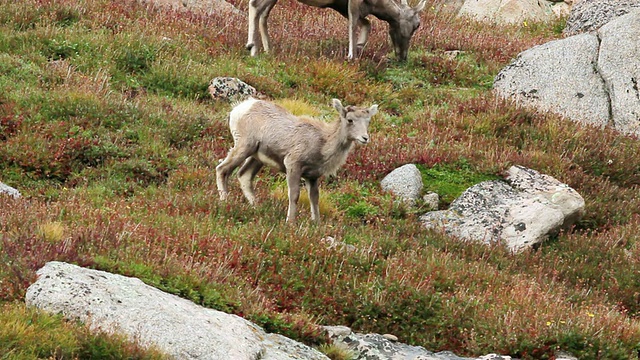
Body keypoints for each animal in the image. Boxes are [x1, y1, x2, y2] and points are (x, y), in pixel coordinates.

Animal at [218, 97, 378, 224]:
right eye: (350, 120)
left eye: (368, 121)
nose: (365, 138)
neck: (323, 145)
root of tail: (240, 108)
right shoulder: (293, 166)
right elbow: (294, 195)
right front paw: (291, 222)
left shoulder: (312, 177)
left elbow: (314, 199)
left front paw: (316, 224)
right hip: (244, 147)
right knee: (222, 169)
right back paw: (225, 201)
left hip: (256, 158)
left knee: (244, 176)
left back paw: (256, 206)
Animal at [248, 0, 428, 61]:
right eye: (417, 24)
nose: (403, 56)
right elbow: (353, 25)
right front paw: (351, 55)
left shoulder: (343, 7)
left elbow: (366, 24)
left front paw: (359, 46)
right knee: (255, 6)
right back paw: (252, 48)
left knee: (263, 15)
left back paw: (268, 50)